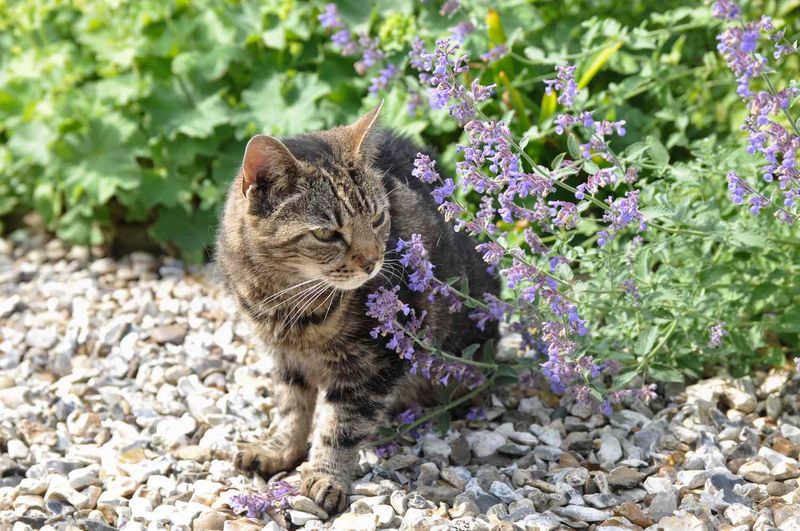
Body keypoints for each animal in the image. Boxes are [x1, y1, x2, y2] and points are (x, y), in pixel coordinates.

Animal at [216, 104, 496, 516]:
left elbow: (341, 427)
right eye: (326, 234)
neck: (288, 302)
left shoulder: (375, 363)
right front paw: (280, 450)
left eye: (378, 218)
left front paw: (324, 477)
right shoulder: (284, 358)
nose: (373, 261)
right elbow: (291, 408)